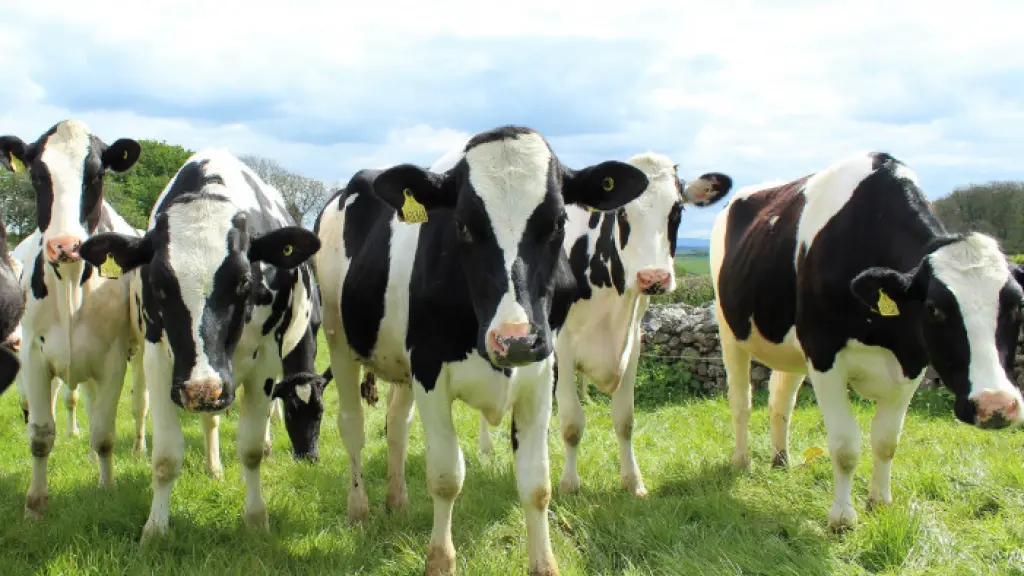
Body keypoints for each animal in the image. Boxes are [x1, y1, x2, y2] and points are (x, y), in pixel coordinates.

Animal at [0, 118, 149, 518]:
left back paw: (138, 447)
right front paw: (35, 505)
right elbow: (40, 433)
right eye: (38, 175)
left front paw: (107, 488)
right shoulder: (33, 356)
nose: (65, 246)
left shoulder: (114, 358)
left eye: (96, 174)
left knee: (137, 405)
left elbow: (105, 433)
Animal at [76, 146, 319, 537]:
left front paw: (256, 519)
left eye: (243, 282)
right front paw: (155, 528)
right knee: (210, 420)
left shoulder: (266, 359)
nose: (202, 388)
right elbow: (165, 456)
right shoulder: (160, 360)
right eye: (159, 285)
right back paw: (212, 465)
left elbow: (251, 448)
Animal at [311, 126, 647, 573]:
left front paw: (544, 564)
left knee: (397, 426)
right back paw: (359, 508)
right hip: (338, 338)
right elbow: (446, 476)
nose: (515, 338)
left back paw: (397, 500)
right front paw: (439, 561)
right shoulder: (430, 372)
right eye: (463, 225)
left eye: (557, 222)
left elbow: (536, 482)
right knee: (352, 426)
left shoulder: (542, 374)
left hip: (399, 362)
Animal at [475, 152, 733, 498]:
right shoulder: (562, 347)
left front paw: (633, 481)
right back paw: (486, 448)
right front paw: (569, 484)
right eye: (622, 212)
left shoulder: (633, 343)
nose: (653, 277)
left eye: (677, 210)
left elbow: (625, 419)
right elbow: (572, 423)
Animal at [708, 150, 1024, 532]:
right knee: (742, 401)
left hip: (791, 348)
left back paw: (781, 459)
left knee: (781, 399)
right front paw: (842, 518)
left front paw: (880, 503)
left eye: (1017, 304)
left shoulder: (912, 361)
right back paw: (742, 461)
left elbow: (887, 440)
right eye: (934, 309)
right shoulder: (824, 354)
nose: (996, 405)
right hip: (730, 331)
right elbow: (845, 444)